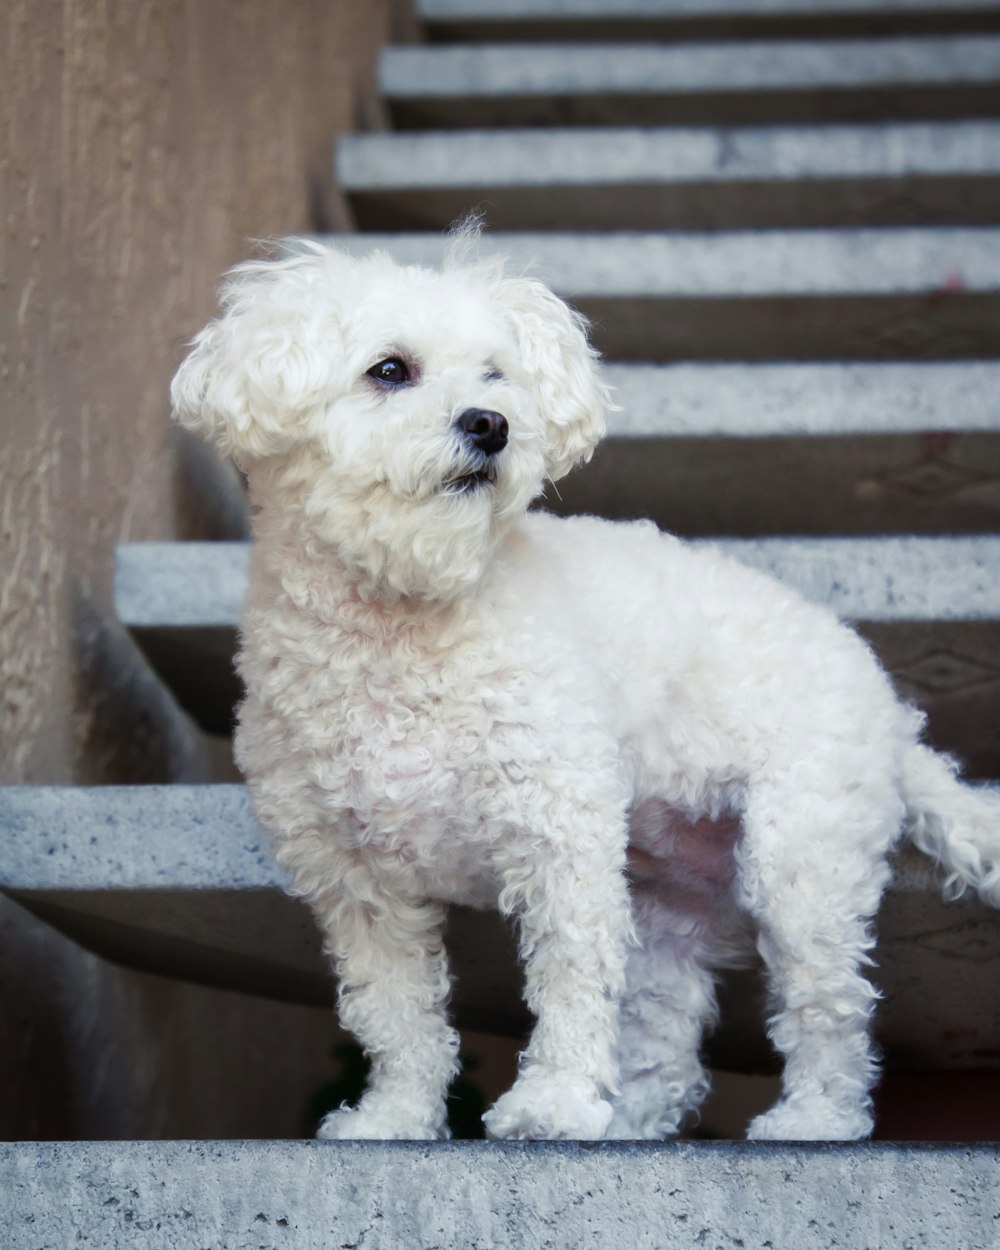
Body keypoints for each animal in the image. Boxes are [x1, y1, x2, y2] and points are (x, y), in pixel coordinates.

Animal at [173, 236, 1000, 1145]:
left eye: (496, 376)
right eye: (389, 370)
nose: (490, 424)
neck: (405, 628)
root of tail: (891, 708)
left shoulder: (558, 838)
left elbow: (569, 983)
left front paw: (555, 1103)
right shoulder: (357, 885)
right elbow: (397, 1017)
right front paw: (395, 1117)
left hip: (801, 859)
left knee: (831, 1005)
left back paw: (816, 1117)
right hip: (670, 907)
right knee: (668, 1040)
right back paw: (631, 1121)